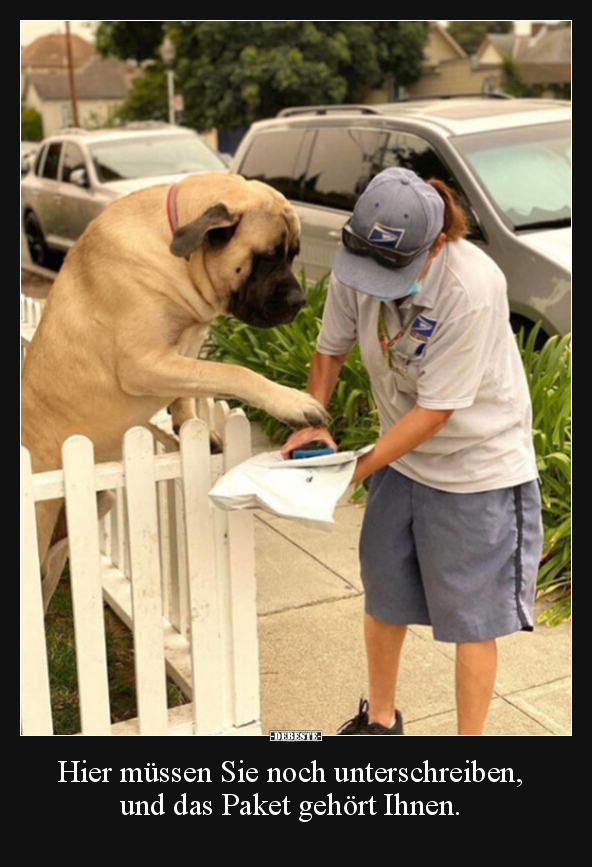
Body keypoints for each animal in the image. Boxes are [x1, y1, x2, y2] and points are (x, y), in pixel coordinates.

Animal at [22, 173, 328, 608]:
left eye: (293, 254)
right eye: (268, 257)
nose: (301, 301)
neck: (179, 255)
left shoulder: (183, 349)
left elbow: (194, 383)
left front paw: (188, 425)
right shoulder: (143, 362)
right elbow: (231, 372)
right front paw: (292, 402)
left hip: (73, 532)